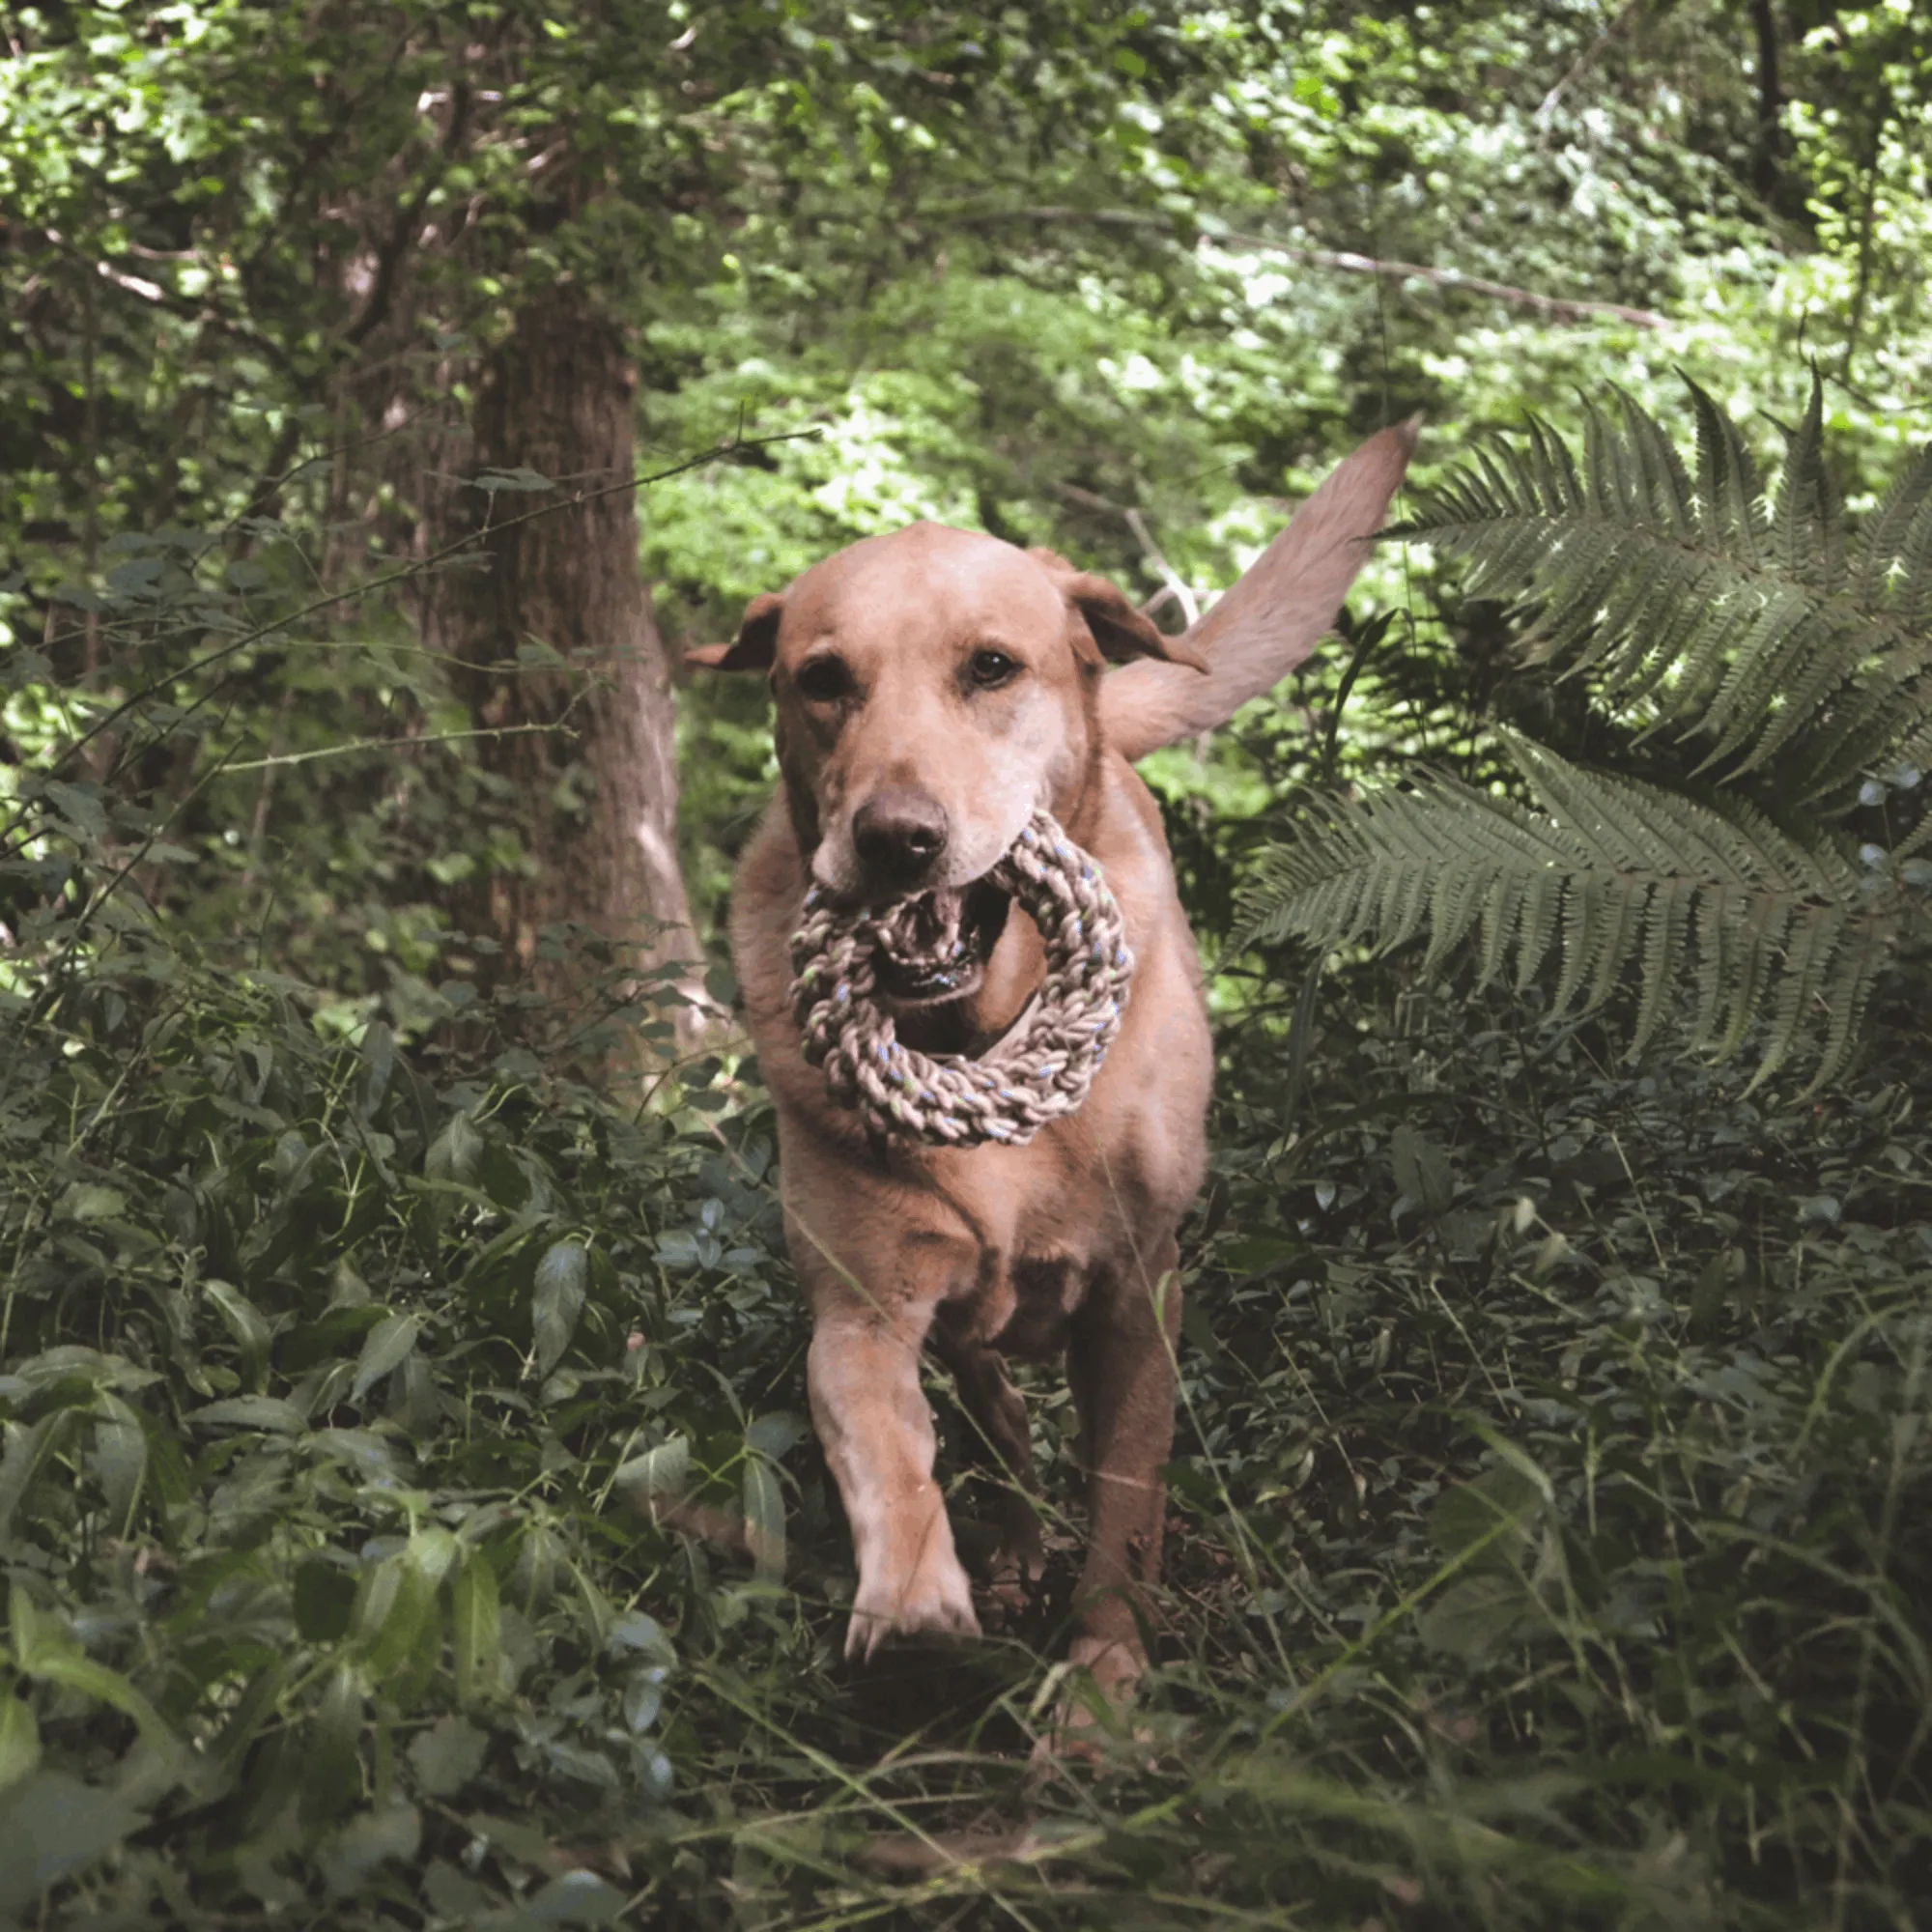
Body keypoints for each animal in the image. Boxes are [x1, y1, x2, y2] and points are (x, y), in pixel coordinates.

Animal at [688, 423, 1414, 1708]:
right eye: (822, 679)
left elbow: (1124, 1502)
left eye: (990, 667)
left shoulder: (1139, 1296)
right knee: (992, 1418)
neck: (974, 1031)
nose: (895, 839)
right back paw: (1011, 1549)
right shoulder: (861, 1313)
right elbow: (888, 1454)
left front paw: (1103, 1678)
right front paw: (915, 1603)